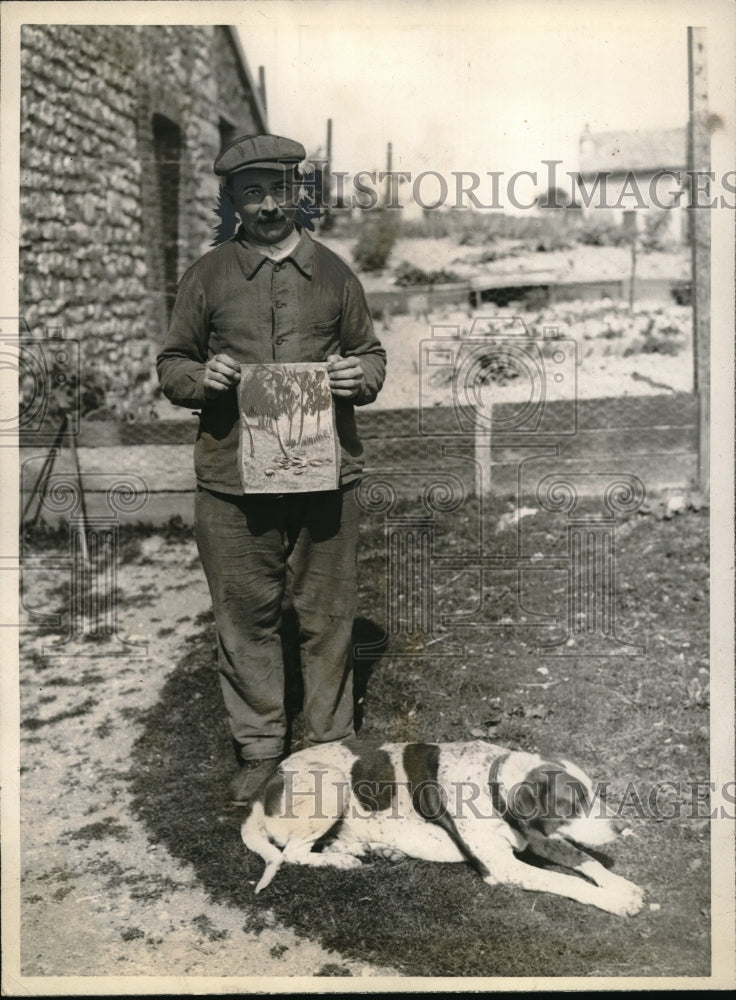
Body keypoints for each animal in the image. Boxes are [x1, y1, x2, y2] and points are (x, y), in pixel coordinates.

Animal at [242, 740, 644, 916]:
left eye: (595, 792)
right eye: (573, 803)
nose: (625, 826)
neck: (491, 782)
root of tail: (264, 790)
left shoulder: (537, 839)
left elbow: (583, 858)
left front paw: (621, 886)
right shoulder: (505, 868)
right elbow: (567, 880)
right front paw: (615, 900)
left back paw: (370, 849)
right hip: (333, 783)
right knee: (293, 853)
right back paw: (341, 861)